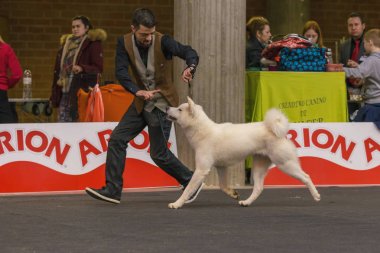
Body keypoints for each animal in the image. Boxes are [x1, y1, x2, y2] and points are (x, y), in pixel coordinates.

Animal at [166, 96, 320, 209]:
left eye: (179, 109)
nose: (167, 107)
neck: (202, 130)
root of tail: (275, 130)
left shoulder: (201, 170)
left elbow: (188, 189)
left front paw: (177, 203)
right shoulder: (221, 167)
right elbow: (223, 186)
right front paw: (233, 193)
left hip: (286, 165)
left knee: (306, 177)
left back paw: (316, 195)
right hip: (259, 168)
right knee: (258, 188)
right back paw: (246, 202)